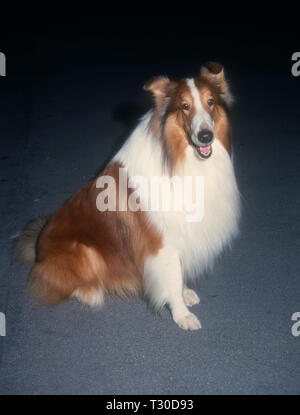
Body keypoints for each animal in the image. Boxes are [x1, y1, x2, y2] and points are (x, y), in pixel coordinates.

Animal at [15, 61, 241, 330]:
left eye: (211, 102)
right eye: (185, 106)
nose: (206, 136)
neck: (179, 159)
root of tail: (39, 247)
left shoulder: (180, 236)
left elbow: (178, 272)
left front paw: (185, 293)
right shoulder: (161, 242)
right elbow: (172, 277)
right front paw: (182, 315)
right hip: (83, 250)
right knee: (62, 283)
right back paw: (90, 293)